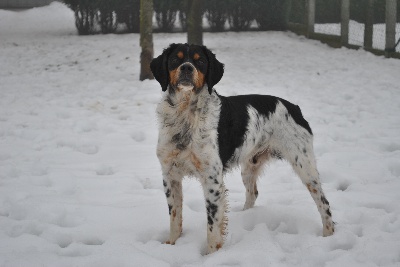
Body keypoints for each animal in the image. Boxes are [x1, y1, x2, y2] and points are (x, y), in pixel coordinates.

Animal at [150, 43, 334, 254]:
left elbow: (212, 226)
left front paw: (211, 255)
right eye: (175, 59)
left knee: (324, 202)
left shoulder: (212, 180)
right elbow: (175, 217)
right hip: (249, 168)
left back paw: (328, 235)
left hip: (305, 166)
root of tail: (295, 107)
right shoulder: (170, 175)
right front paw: (171, 245)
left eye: (200, 61)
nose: (187, 68)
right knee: (253, 193)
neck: (185, 113)